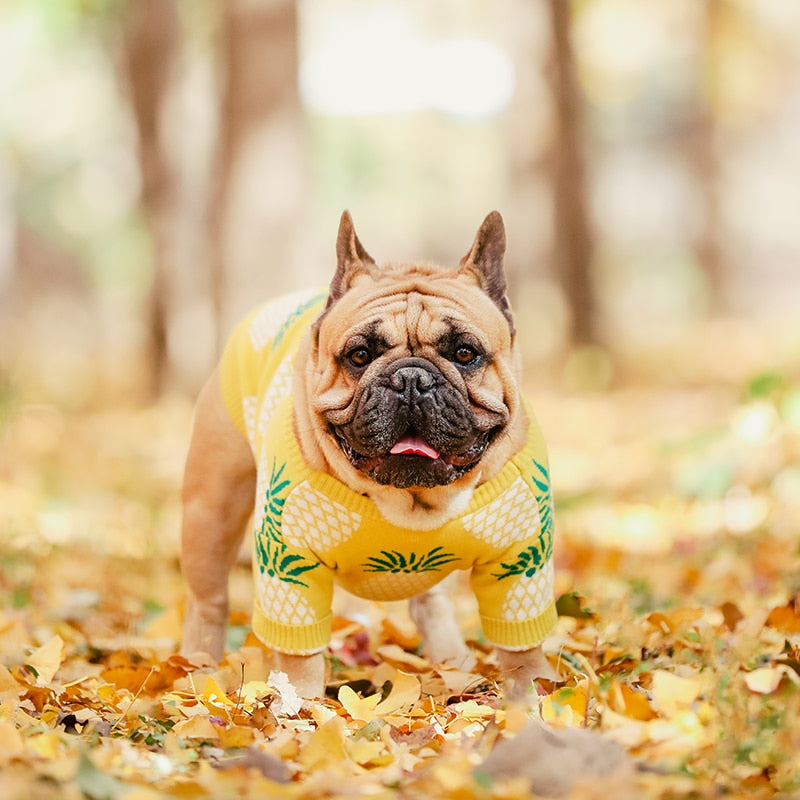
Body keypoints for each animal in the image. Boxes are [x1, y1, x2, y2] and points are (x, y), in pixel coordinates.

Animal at [180, 212, 556, 700]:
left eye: (465, 353)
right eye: (359, 355)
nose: (412, 380)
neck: (411, 501)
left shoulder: (522, 558)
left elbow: (522, 646)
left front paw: (533, 695)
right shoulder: (291, 563)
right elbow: (299, 655)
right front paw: (298, 705)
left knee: (430, 604)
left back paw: (452, 663)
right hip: (211, 511)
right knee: (208, 601)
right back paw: (197, 669)